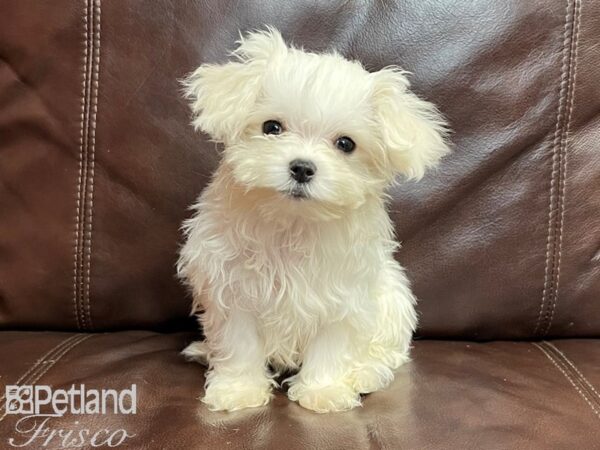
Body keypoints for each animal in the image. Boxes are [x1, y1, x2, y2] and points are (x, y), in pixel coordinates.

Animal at [178, 28, 450, 414]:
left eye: (346, 144)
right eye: (272, 127)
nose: (302, 167)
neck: (292, 222)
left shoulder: (341, 295)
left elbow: (331, 345)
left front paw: (324, 391)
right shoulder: (232, 288)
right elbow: (239, 344)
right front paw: (238, 390)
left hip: (391, 300)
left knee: (387, 353)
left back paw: (365, 374)